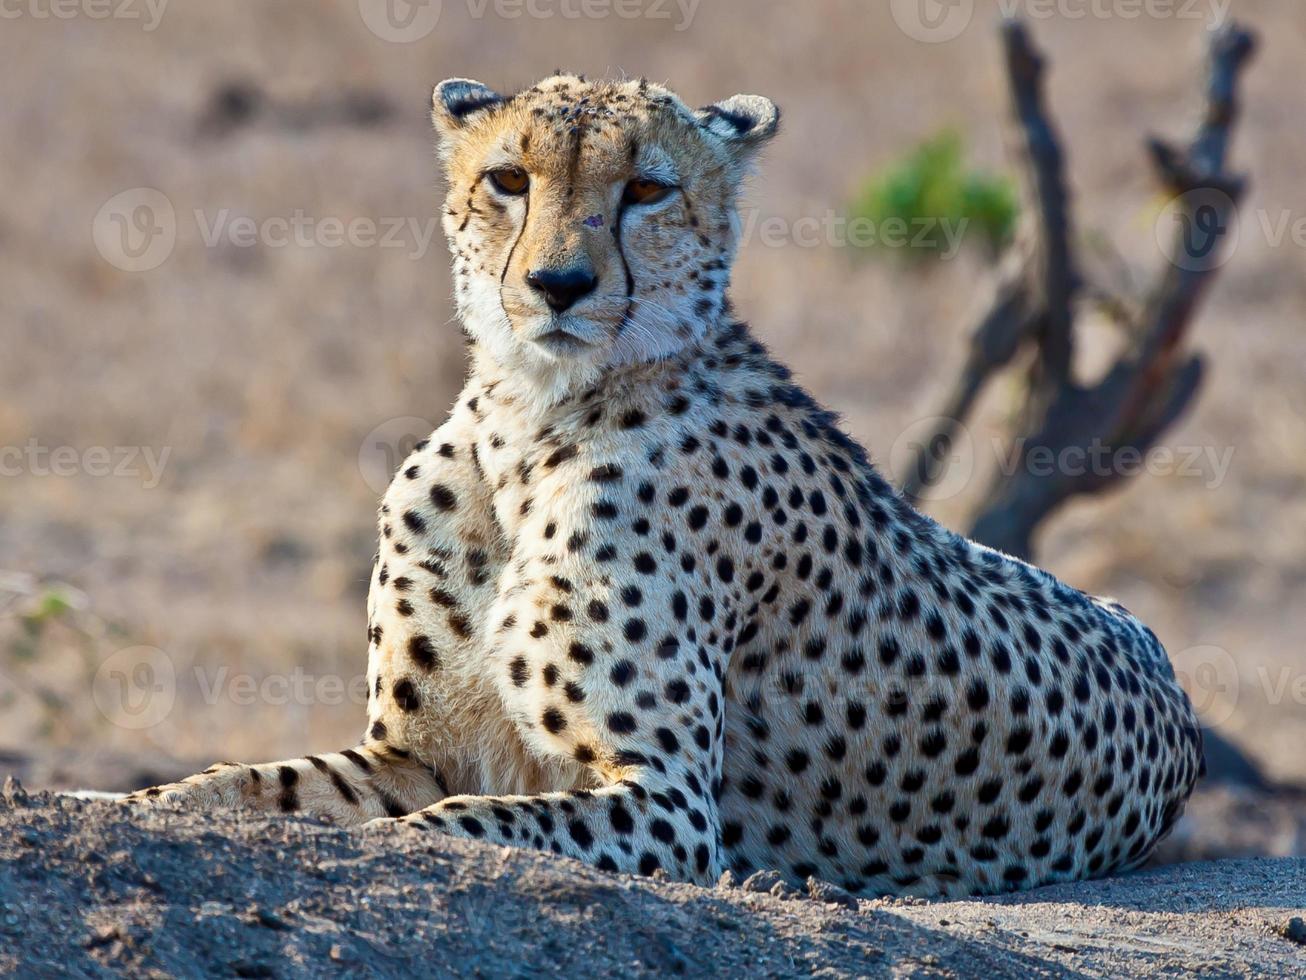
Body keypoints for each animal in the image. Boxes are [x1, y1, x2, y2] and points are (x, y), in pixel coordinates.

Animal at [122, 72, 1201, 904]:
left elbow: (447, 825)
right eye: (508, 180)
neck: (529, 420)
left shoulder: (668, 799)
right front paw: (127, 803)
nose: (558, 285)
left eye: (645, 188)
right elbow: (242, 788)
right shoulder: (412, 751)